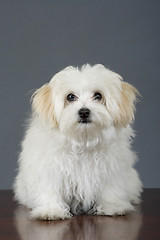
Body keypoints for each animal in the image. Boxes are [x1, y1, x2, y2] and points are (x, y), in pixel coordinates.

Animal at [13, 64, 142, 221]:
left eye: (98, 96)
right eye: (70, 97)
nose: (84, 112)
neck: (83, 142)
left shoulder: (111, 168)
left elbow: (110, 188)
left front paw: (112, 206)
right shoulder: (49, 168)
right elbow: (49, 187)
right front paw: (50, 210)